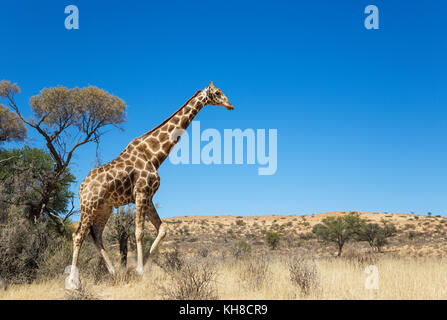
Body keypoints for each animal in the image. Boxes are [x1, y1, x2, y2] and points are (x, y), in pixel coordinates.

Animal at [67, 80, 234, 290]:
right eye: (218, 93)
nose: (230, 105)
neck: (154, 155)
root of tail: (81, 188)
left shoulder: (148, 196)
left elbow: (162, 229)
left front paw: (140, 268)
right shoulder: (141, 192)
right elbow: (138, 232)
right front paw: (139, 270)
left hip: (104, 208)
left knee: (95, 235)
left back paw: (113, 273)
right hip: (89, 206)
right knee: (78, 236)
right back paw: (73, 281)